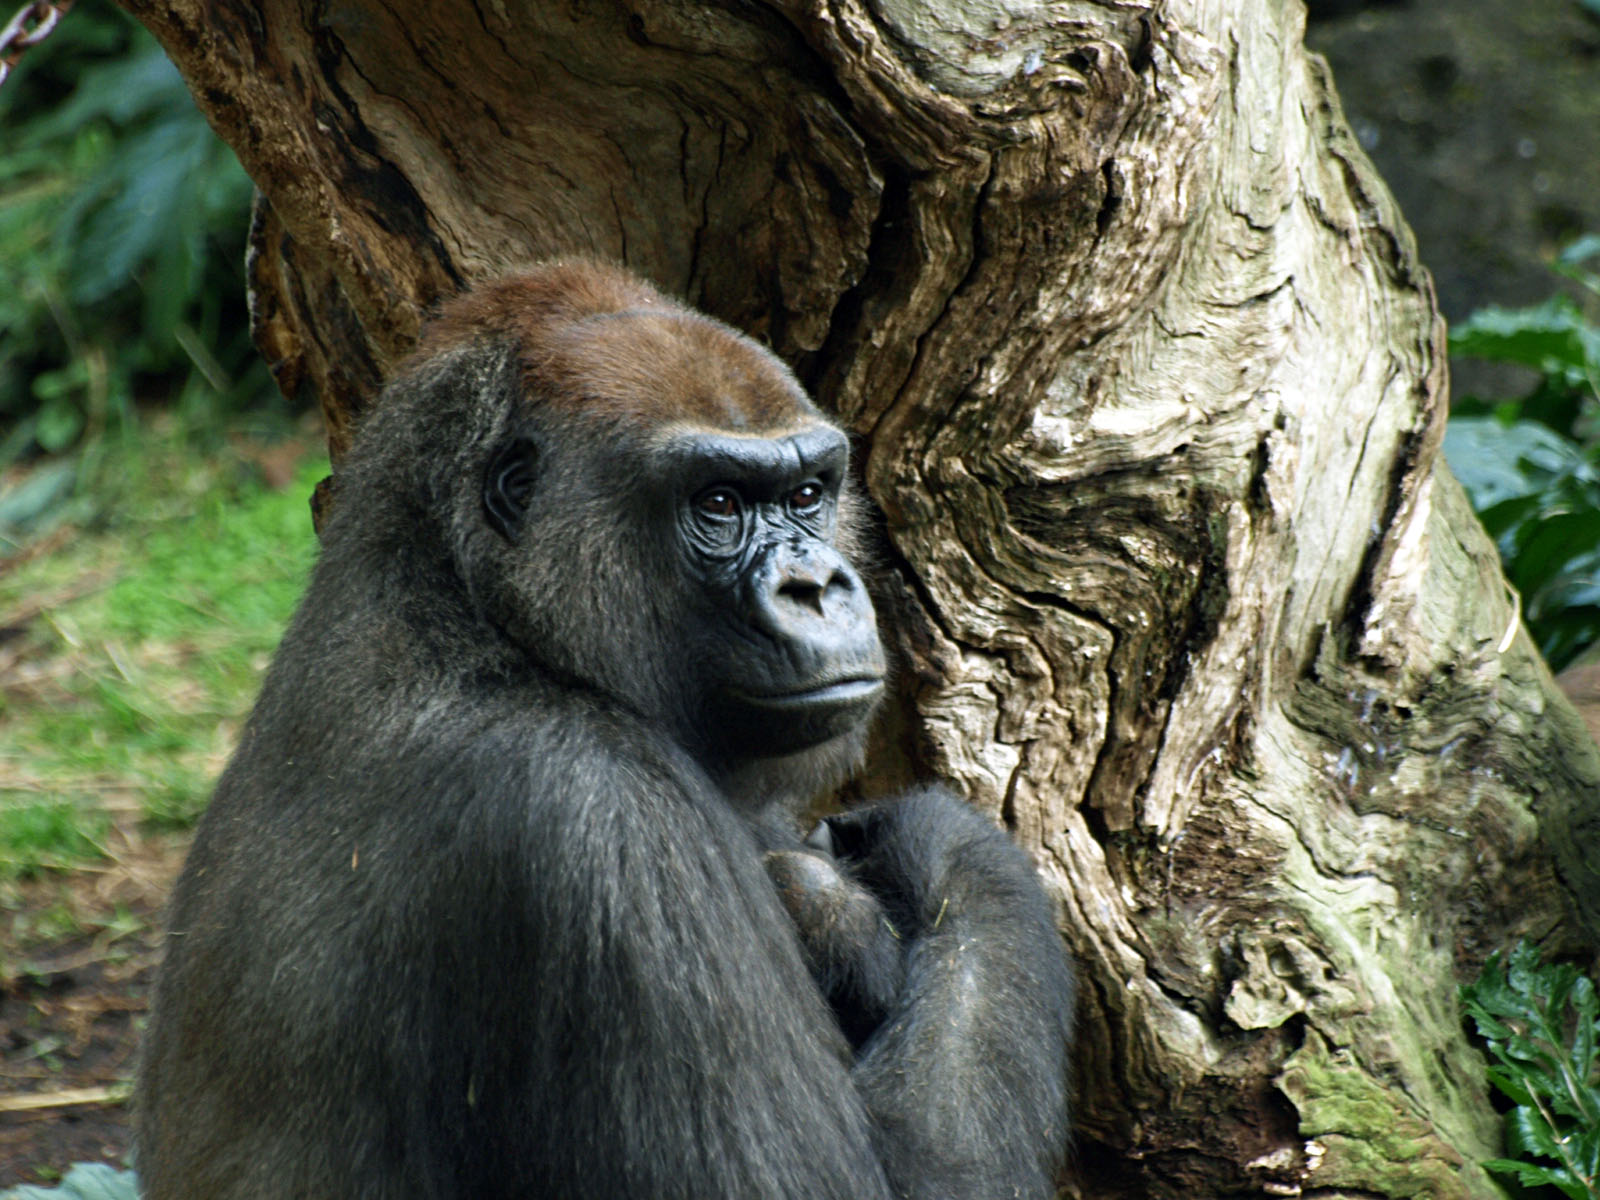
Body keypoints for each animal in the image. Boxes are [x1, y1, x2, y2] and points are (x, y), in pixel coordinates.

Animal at [134, 260, 1075, 1200]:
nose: (818, 587)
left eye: (807, 495)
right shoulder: (605, 820)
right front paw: (934, 847)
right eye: (719, 503)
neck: (465, 599)